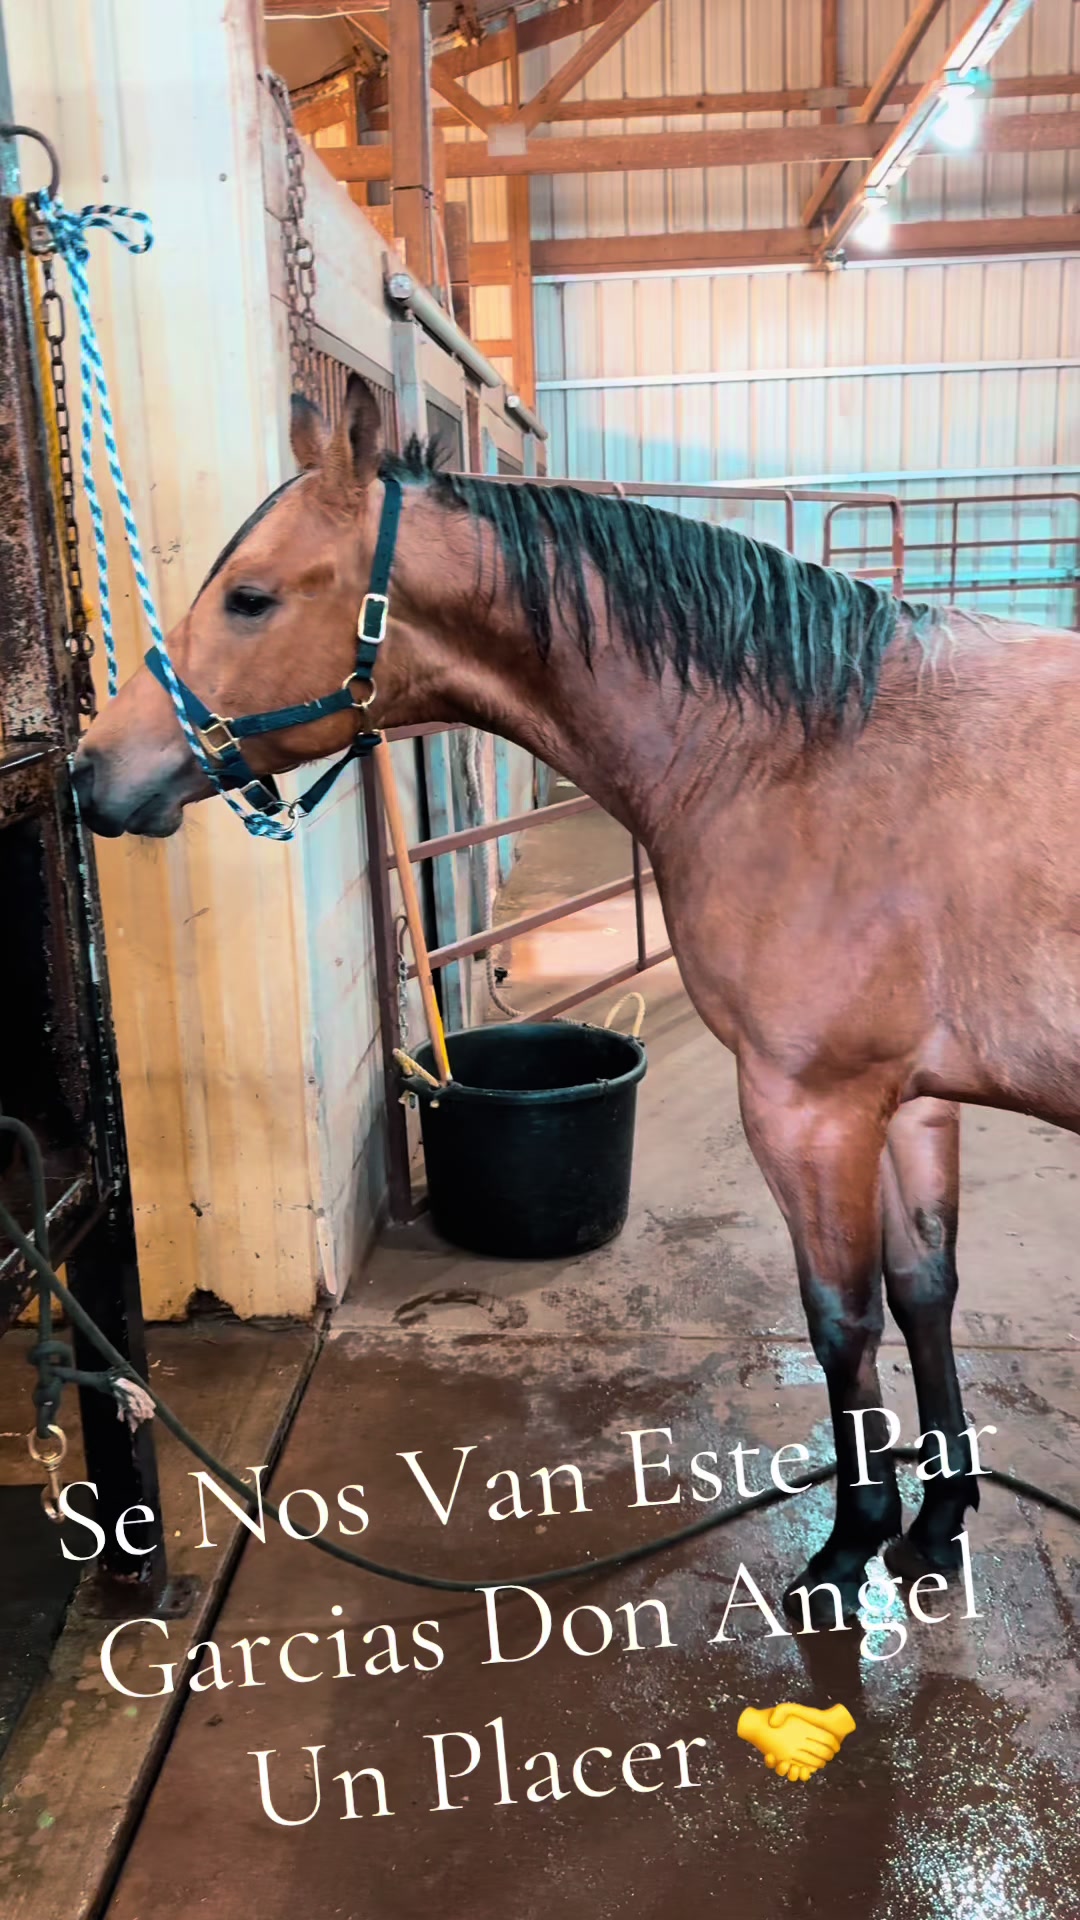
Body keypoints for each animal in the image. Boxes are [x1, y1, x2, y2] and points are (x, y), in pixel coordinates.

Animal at [72, 373, 1080, 1622]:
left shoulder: (812, 1107)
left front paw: (848, 1548)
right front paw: (935, 1526)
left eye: (250, 598)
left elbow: (840, 1321)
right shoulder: (912, 1100)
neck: (812, 753)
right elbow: (923, 1291)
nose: (91, 772)